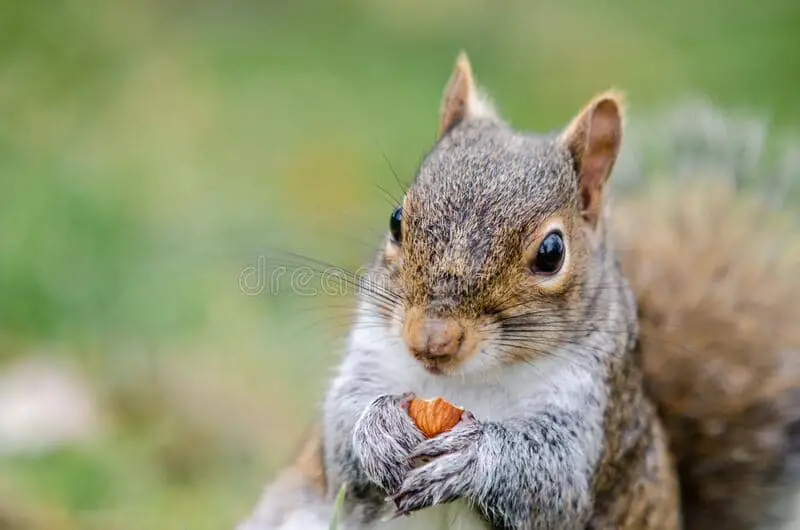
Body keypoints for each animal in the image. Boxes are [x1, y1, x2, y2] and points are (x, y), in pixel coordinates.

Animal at [238, 54, 800, 528]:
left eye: (552, 252)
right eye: (397, 221)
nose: (431, 340)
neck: (465, 383)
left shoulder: (591, 418)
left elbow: (549, 482)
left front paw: (474, 456)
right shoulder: (372, 354)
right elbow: (340, 437)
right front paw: (377, 428)